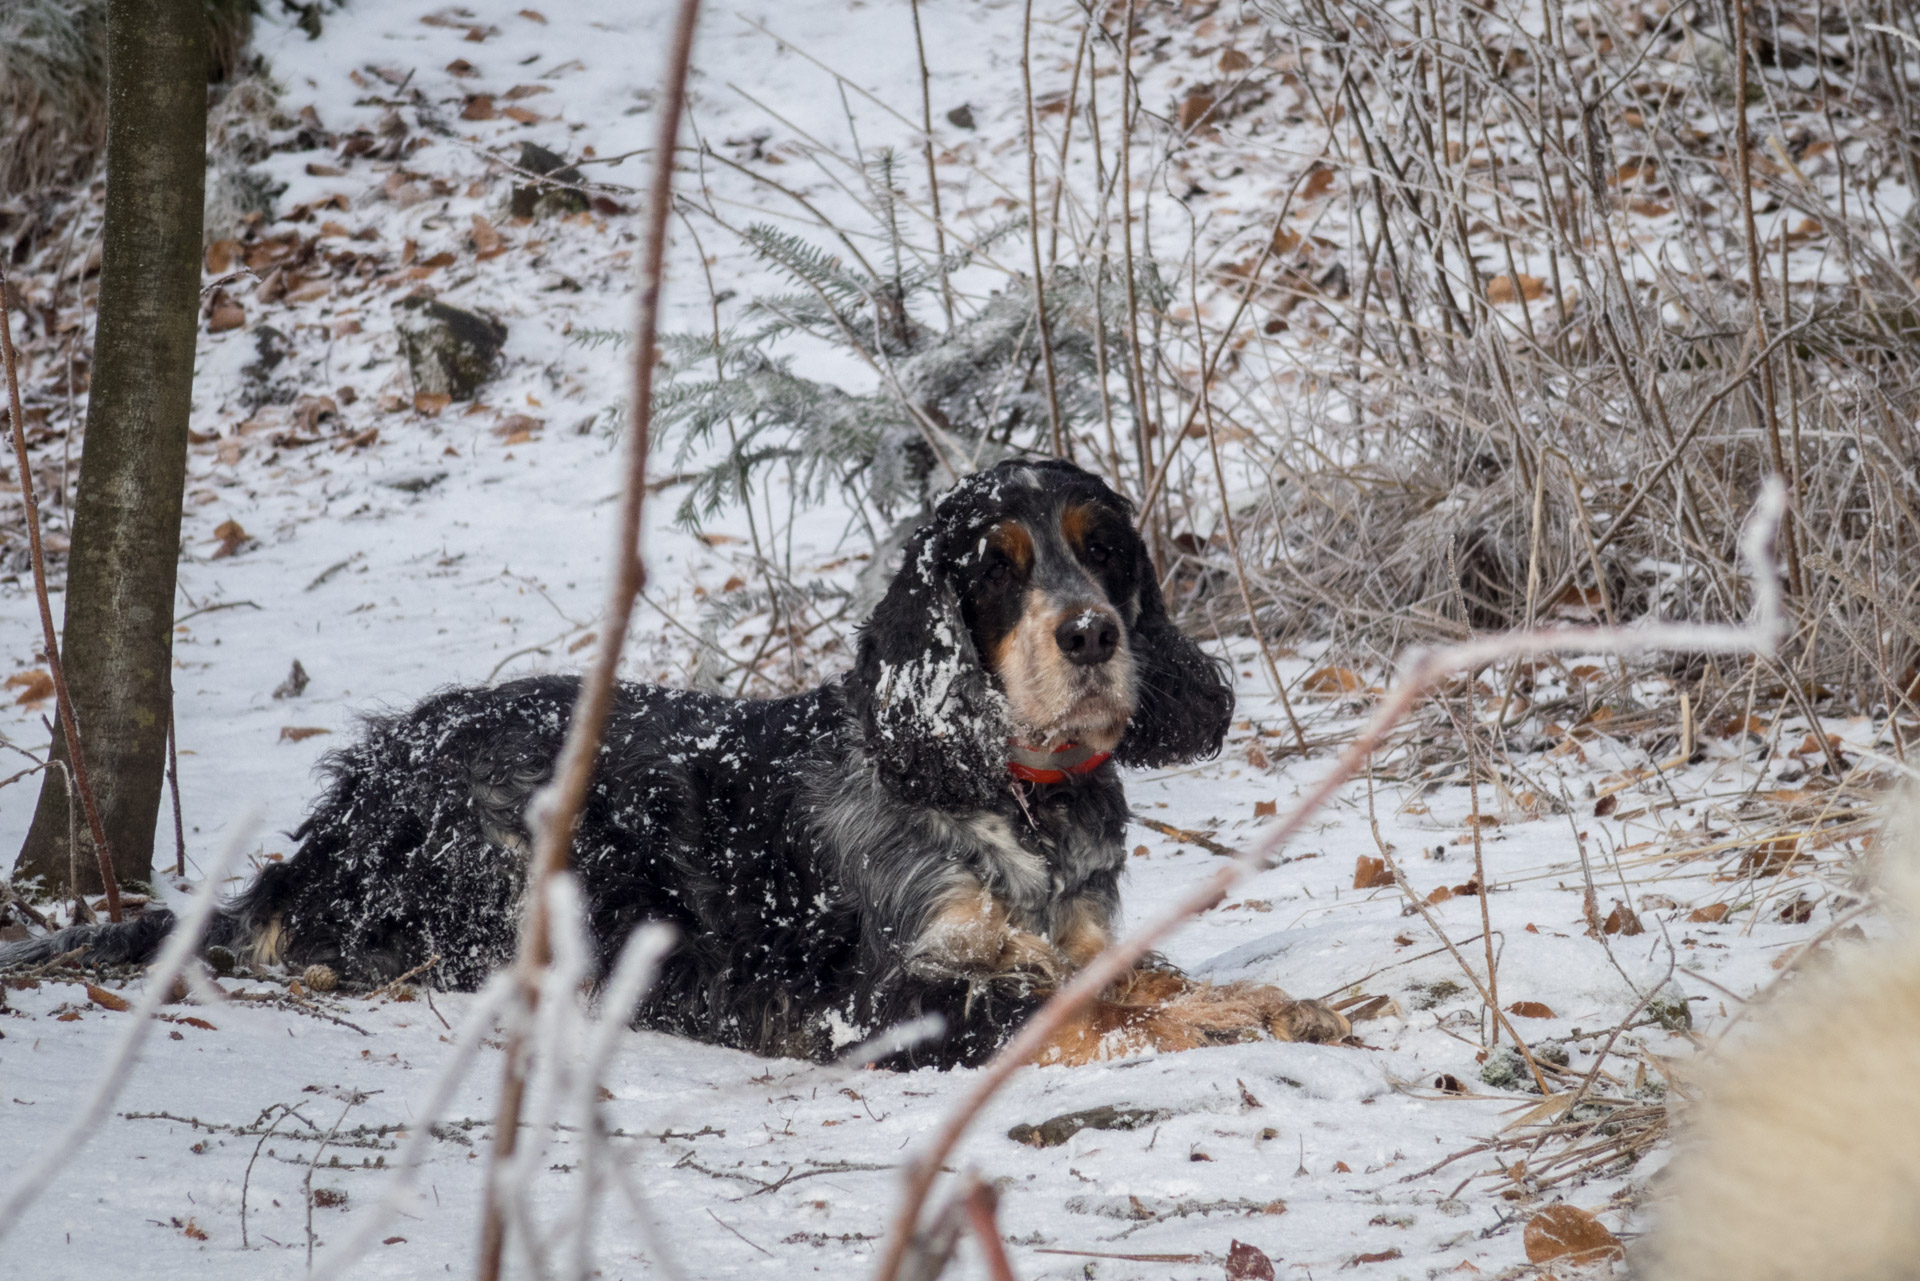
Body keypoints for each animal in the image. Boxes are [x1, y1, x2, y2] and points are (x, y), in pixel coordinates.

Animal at [3, 466, 1351, 1067]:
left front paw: (1276, 1000)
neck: (1010, 795)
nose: (1091, 636)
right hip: (507, 860)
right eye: (996, 567)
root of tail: (333, 824)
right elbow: (1081, 1002)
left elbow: (1133, 970)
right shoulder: (888, 995)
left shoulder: (1069, 929)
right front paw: (1250, 1014)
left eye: (1102, 546)